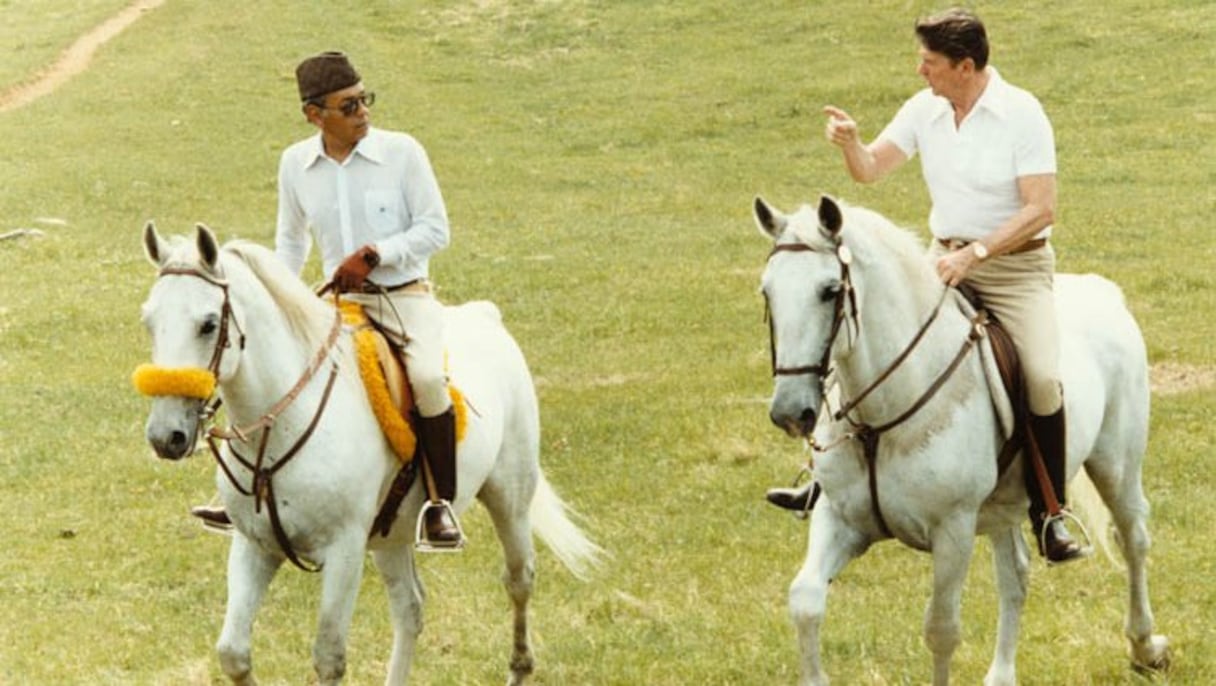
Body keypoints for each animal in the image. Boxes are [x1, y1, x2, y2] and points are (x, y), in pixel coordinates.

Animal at [138, 222, 603, 681]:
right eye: (148, 322)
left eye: (208, 324)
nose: (166, 436)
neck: (282, 430)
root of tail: (485, 316)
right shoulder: (255, 545)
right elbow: (233, 654)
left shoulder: (343, 550)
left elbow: (328, 657)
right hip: (391, 534)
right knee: (410, 608)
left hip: (510, 500)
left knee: (519, 580)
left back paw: (519, 664)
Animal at [749, 195, 1167, 686]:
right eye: (767, 292)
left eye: (830, 290)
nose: (790, 413)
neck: (880, 423)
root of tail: (1103, 291)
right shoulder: (840, 518)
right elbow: (806, 601)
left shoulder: (953, 531)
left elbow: (941, 629)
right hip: (1006, 504)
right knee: (1015, 575)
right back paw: (1002, 675)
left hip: (1115, 465)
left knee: (1133, 538)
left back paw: (1145, 647)